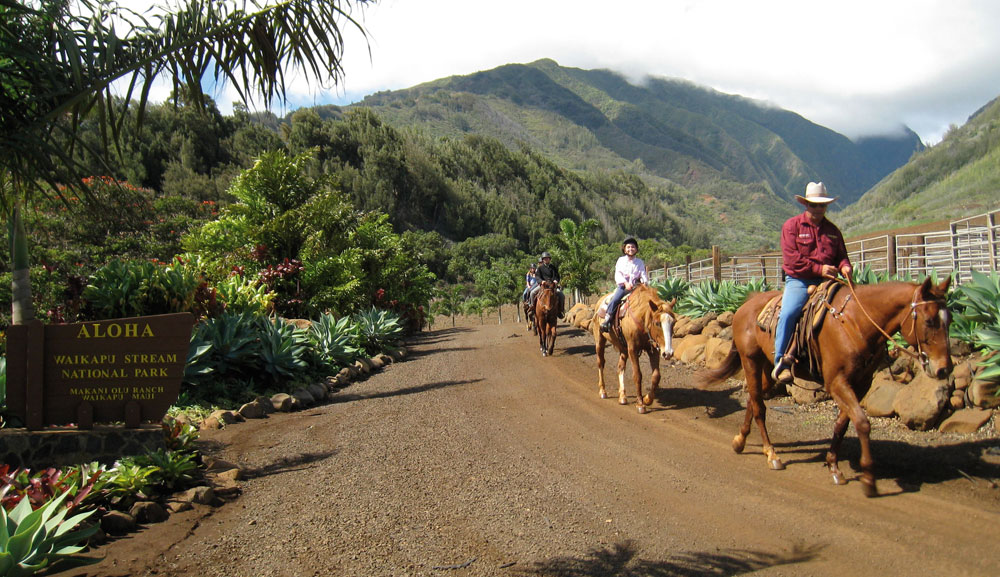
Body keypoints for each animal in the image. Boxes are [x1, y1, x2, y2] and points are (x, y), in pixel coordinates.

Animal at [584, 282, 680, 410]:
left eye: (673, 322)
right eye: (657, 323)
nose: (668, 353)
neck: (641, 318)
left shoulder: (653, 350)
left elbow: (656, 376)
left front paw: (647, 399)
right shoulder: (632, 349)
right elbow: (637, 375)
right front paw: (640, 403)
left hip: (623, 348)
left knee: (620, 367)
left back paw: (622, 396)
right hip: (600, 340)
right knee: (601, 363)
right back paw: (603, 391)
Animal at [700, 276, 948, 498]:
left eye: (949, 320)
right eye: (929, 321)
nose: (943, 369)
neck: (855, 322)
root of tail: (746, 305)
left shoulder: (860, 383)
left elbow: (843, 424)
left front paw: (834, 467)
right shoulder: (836, 381)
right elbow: (862, 422)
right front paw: (869, 480)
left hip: (768, 367)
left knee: (754, 398)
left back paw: (740, 441)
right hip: (749, 359)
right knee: (759, 406)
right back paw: (771, 454)